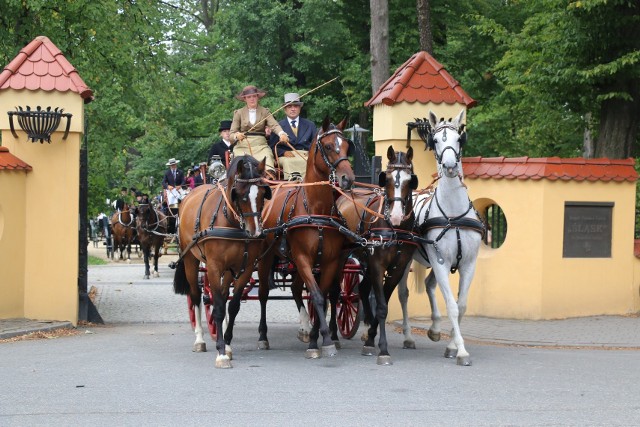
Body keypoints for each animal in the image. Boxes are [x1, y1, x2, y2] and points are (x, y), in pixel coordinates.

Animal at [172, 155, 270, 370]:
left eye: (262, 194)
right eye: (240, 195)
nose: (255, 232)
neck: (231, 221)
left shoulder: (245, 268)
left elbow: (232, 306)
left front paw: (227, 343)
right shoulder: (214, 268)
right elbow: (216, 307)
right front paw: (221, 352)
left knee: (224, 297)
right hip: (191, 260)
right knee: (196, 295)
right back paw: (199, 340)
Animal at [256, 116, 356, 358]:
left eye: (346, 145)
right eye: (327, 146)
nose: (347, 179)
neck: (316, 210)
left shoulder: (330, 261)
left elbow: (322, 296)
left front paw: (315, 338)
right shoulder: (303, 259)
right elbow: (318, 296)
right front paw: (323, 340)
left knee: (296, 289)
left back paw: (305, 328)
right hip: (266, 257)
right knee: (263, 294)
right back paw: (263, 337)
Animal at [336, 146, 420, 364]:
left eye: (410, 180)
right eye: (387, 178)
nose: (397, 216)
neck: (394, 228)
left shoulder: (397, 269)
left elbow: (384, 304)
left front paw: (370, 339)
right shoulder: (377, 265)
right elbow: (381, 306)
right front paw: (382, 349)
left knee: (363, 290)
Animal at [398, 108, 482, 366]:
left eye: (459, 139)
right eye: (435, 140)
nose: (450, 165)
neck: (453, 215)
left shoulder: (467, 264)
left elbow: (461, 305)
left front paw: (452, 345)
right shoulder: (441, 262)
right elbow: (452, 306)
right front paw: (461, 351)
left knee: (428, 285)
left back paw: (434, 329)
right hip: (405, 260)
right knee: (403, 294)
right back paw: (407, 336)